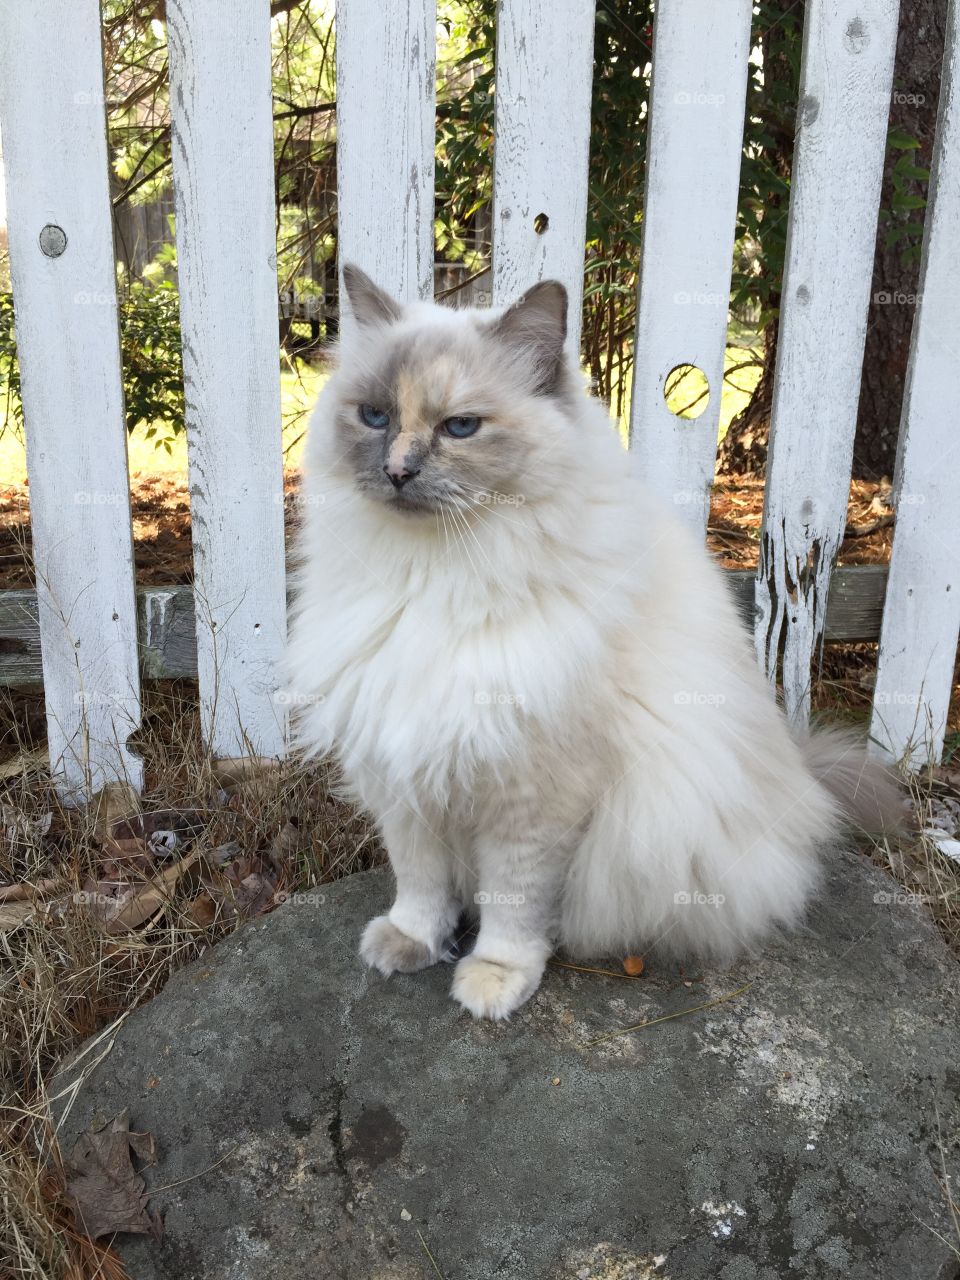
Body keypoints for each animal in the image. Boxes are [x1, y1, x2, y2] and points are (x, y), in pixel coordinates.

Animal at [288, 267, 901, 1018]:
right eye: (374, 416)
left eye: (460, 426)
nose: (399, 471)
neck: (434, 579)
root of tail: (799, 774)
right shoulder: (403, 771)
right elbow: (421, 885)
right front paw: (410, 944)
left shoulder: (532, 795)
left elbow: (513, 903)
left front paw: (493, 980)